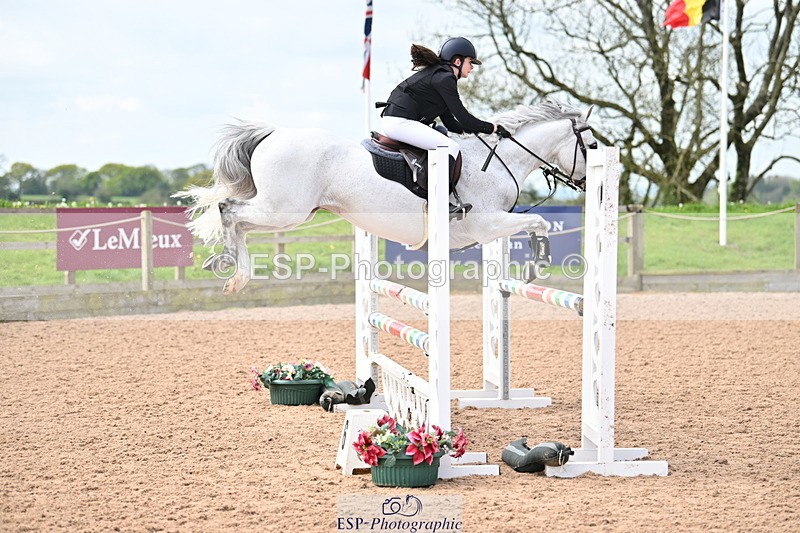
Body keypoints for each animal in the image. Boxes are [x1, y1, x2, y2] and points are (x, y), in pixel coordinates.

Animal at [177, 98, 598, 294]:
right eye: (592, 145)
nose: (590, 185)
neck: (495, 162)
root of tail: (272, 133)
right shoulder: (486, 223)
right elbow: (538, 221)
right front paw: (537, 265)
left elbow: (533, 223)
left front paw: (533, 265)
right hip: (285, 211)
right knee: (229, 210)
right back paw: (235, 272)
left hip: (288, 211)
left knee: (234, 216)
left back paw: (227, 266)